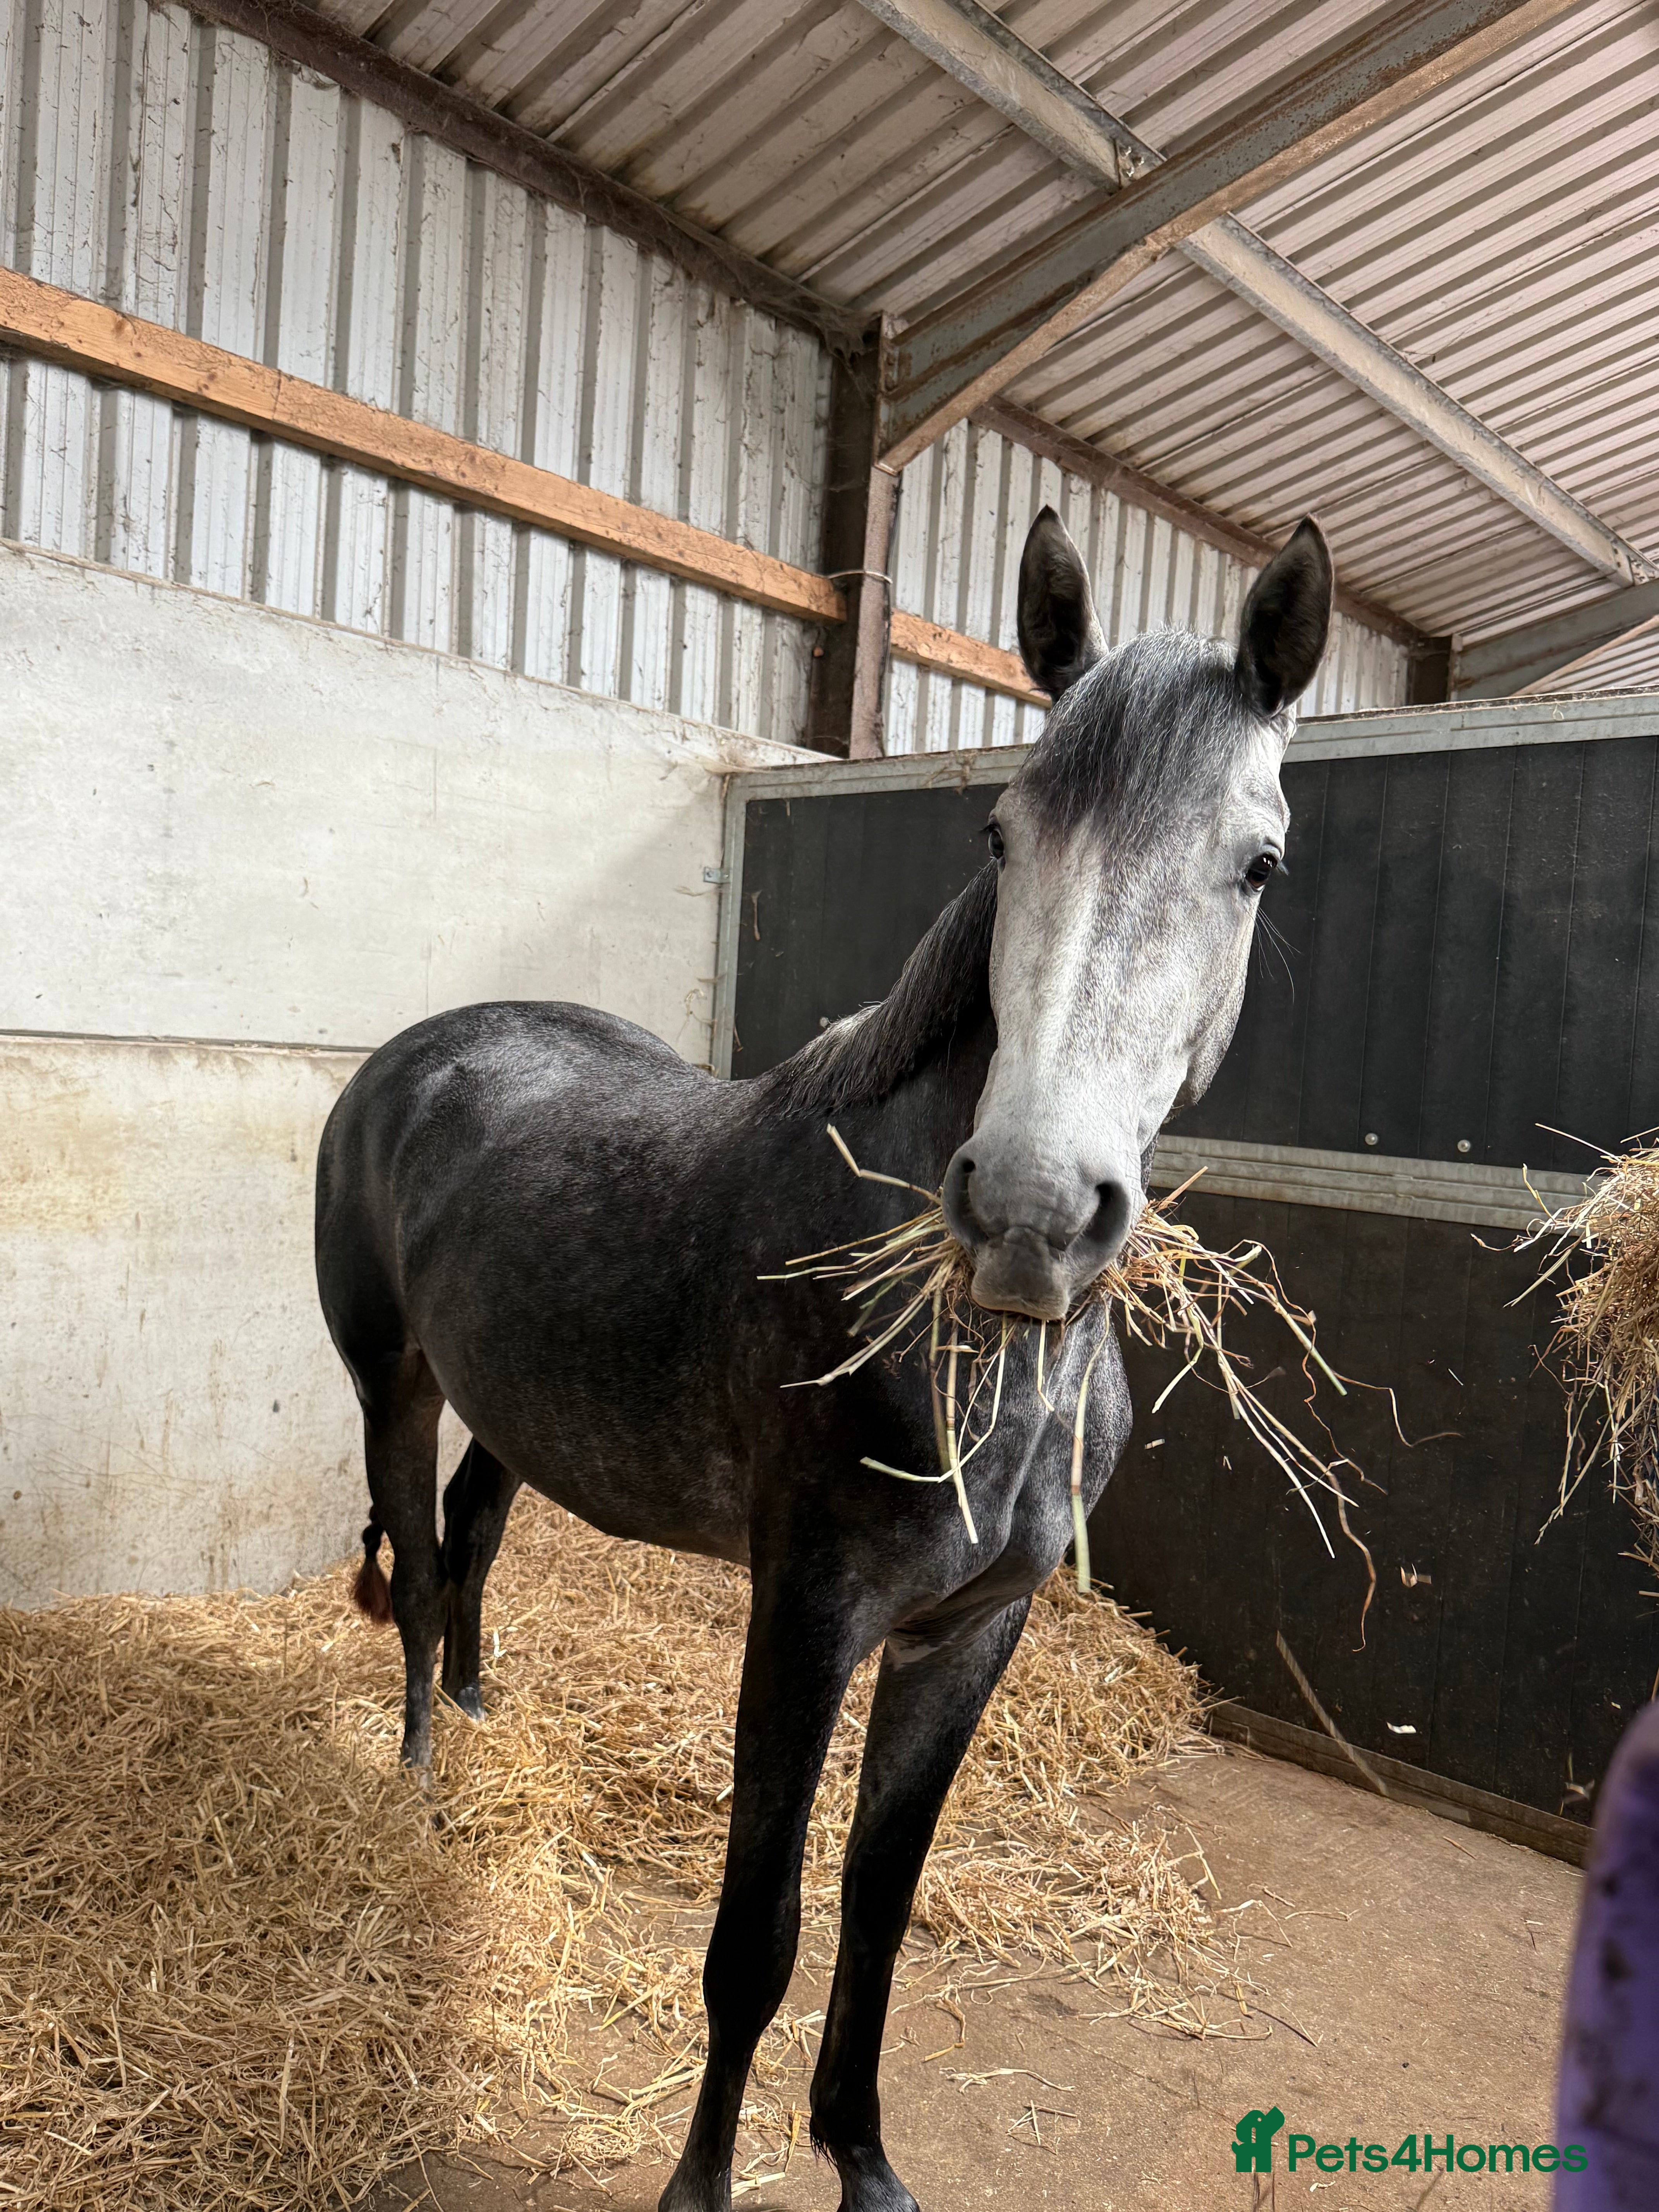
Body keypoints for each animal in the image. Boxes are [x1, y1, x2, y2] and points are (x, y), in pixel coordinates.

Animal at [314, 503, 1331, 2212]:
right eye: (1000, 836)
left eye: (1257, 864)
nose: (1031, 1210)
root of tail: (424, 1051)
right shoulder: (804, 1621)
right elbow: (759, 1935)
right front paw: (702, 2186)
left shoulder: (964, 1639)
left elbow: (877, 1905)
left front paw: (861, 2156)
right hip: (392, 1380)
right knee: (420, 1568)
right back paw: (417, 1785)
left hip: (511, 1409)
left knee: (468, 1537)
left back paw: (479, 1713)